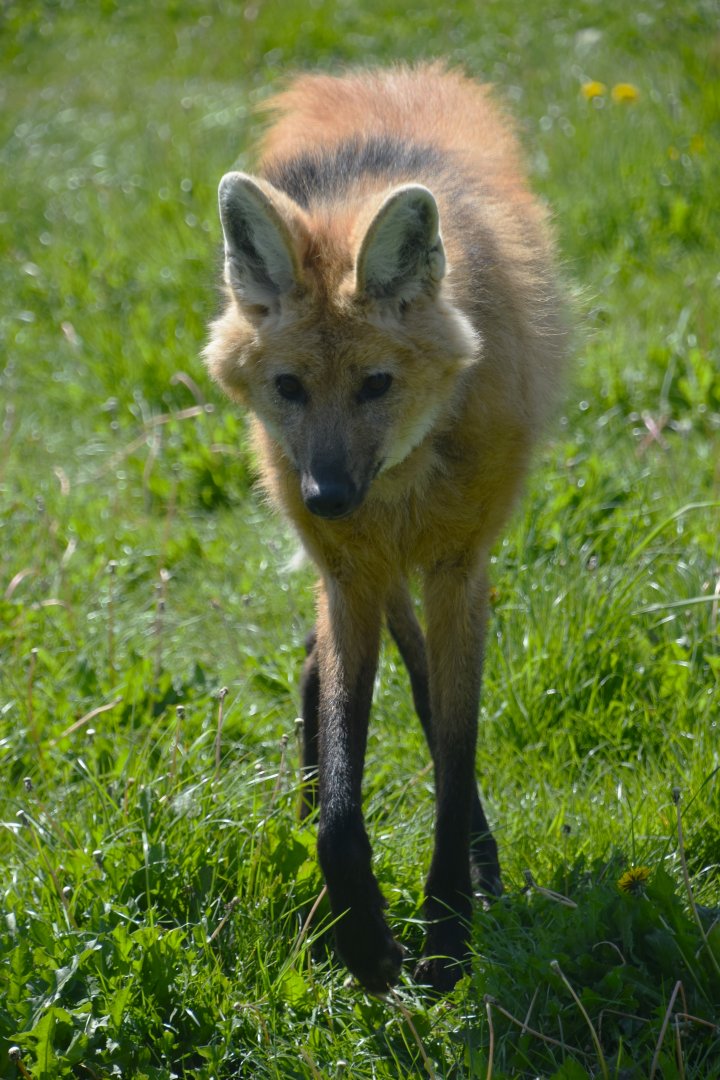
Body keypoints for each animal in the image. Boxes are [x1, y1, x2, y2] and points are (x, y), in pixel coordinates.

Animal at [203, 63, 567, 993]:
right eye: (290, 388)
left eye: (375, 384)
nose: (329, 495)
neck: (400, 482)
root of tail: (370, 77)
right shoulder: (353, 576)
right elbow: (343, 785)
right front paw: (364, 940)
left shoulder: (456, 567)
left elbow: (454, 741)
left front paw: (447, 931)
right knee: (326, 669)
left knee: (427, 701)